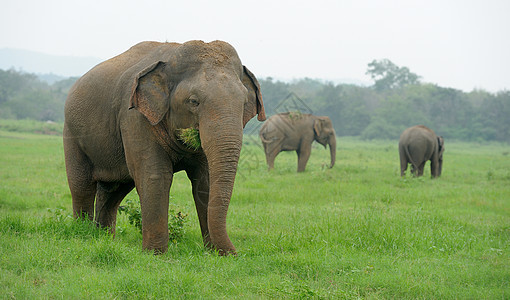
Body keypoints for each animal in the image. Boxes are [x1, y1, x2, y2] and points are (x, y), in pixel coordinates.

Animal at [62, 40, 266, 255]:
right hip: (72, 133)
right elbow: (155, 176)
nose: (236, 254)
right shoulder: (134, 117)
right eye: (194, 101)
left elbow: (206, 179)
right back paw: (83, 234)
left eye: (244, 103)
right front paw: (155, 254)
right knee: (81, 186)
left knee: (114, 190)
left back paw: (104, 238)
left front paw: (213, 254)